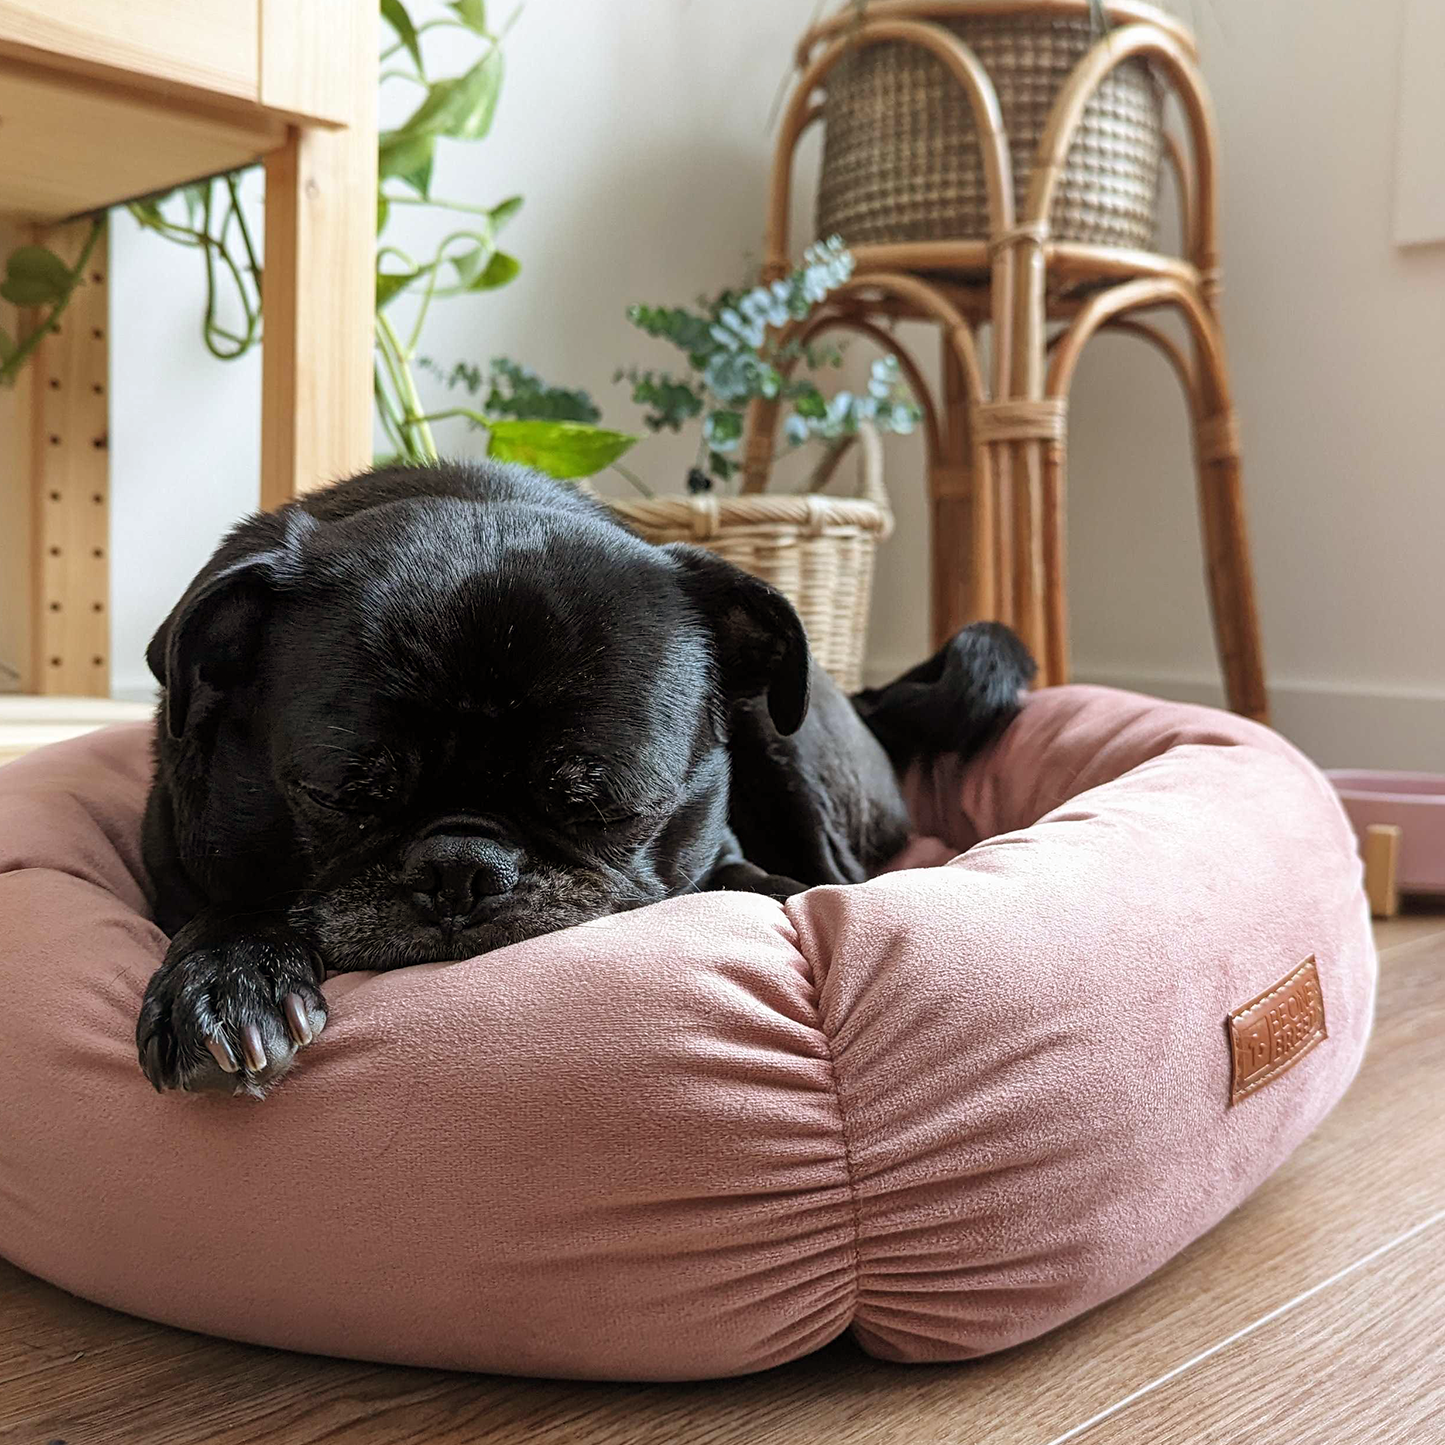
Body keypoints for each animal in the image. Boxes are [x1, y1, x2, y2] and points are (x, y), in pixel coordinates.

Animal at [135, 465, 1034, 1092]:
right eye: (336, 798)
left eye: (609, 808)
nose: (460, 867)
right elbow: (231, 903)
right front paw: (229, 973)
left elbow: (742, 878)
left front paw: (770, 897)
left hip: (787, 741)